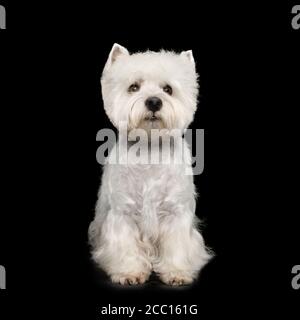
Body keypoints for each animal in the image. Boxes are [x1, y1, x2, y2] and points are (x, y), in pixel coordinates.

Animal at [88, 43, 212, 286]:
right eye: (134, 87)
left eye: (168, 89)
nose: (154, 101)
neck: (149, 148)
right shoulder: (123, 213)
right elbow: (126, 246)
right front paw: (129, 272)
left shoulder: (175, 212)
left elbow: (176, 246)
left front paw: (176, 272)